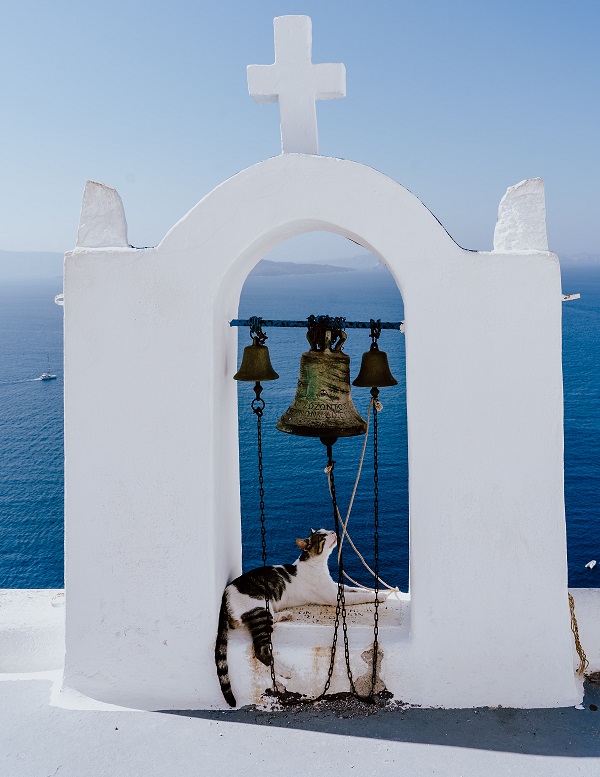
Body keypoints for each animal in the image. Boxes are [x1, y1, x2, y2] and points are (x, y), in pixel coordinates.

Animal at [213, 532, 386, 708]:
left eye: (326, 530)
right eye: (322, 536)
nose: (333, 531)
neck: (317, 565)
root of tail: (225, 596)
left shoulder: (336, 587)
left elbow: (352, 588)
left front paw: (371, 590)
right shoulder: (333, 597)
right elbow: (357, 596)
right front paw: (379, 596)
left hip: (266, 611)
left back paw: (284, 615)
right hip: (260, 611)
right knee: (261, 650)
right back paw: (284, 671)